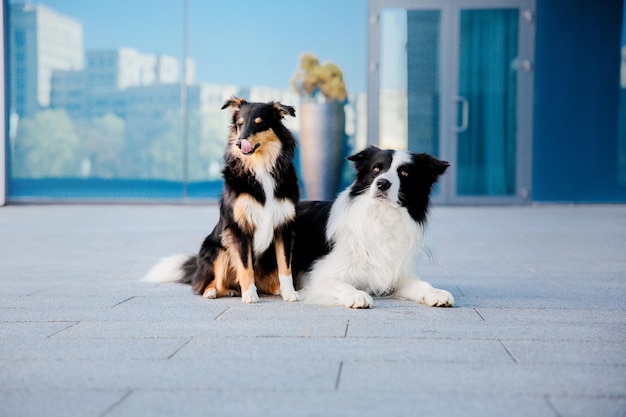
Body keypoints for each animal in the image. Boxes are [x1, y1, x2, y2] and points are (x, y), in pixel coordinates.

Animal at [292, 145, 454, 308]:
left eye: (404, 173)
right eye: (376, 169)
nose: (382, 183)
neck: (382, 216)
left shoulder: (398, 275)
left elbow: (422, 284)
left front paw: (436, 293)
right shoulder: (320, 276)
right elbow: (342, 285)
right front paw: (357, 295)